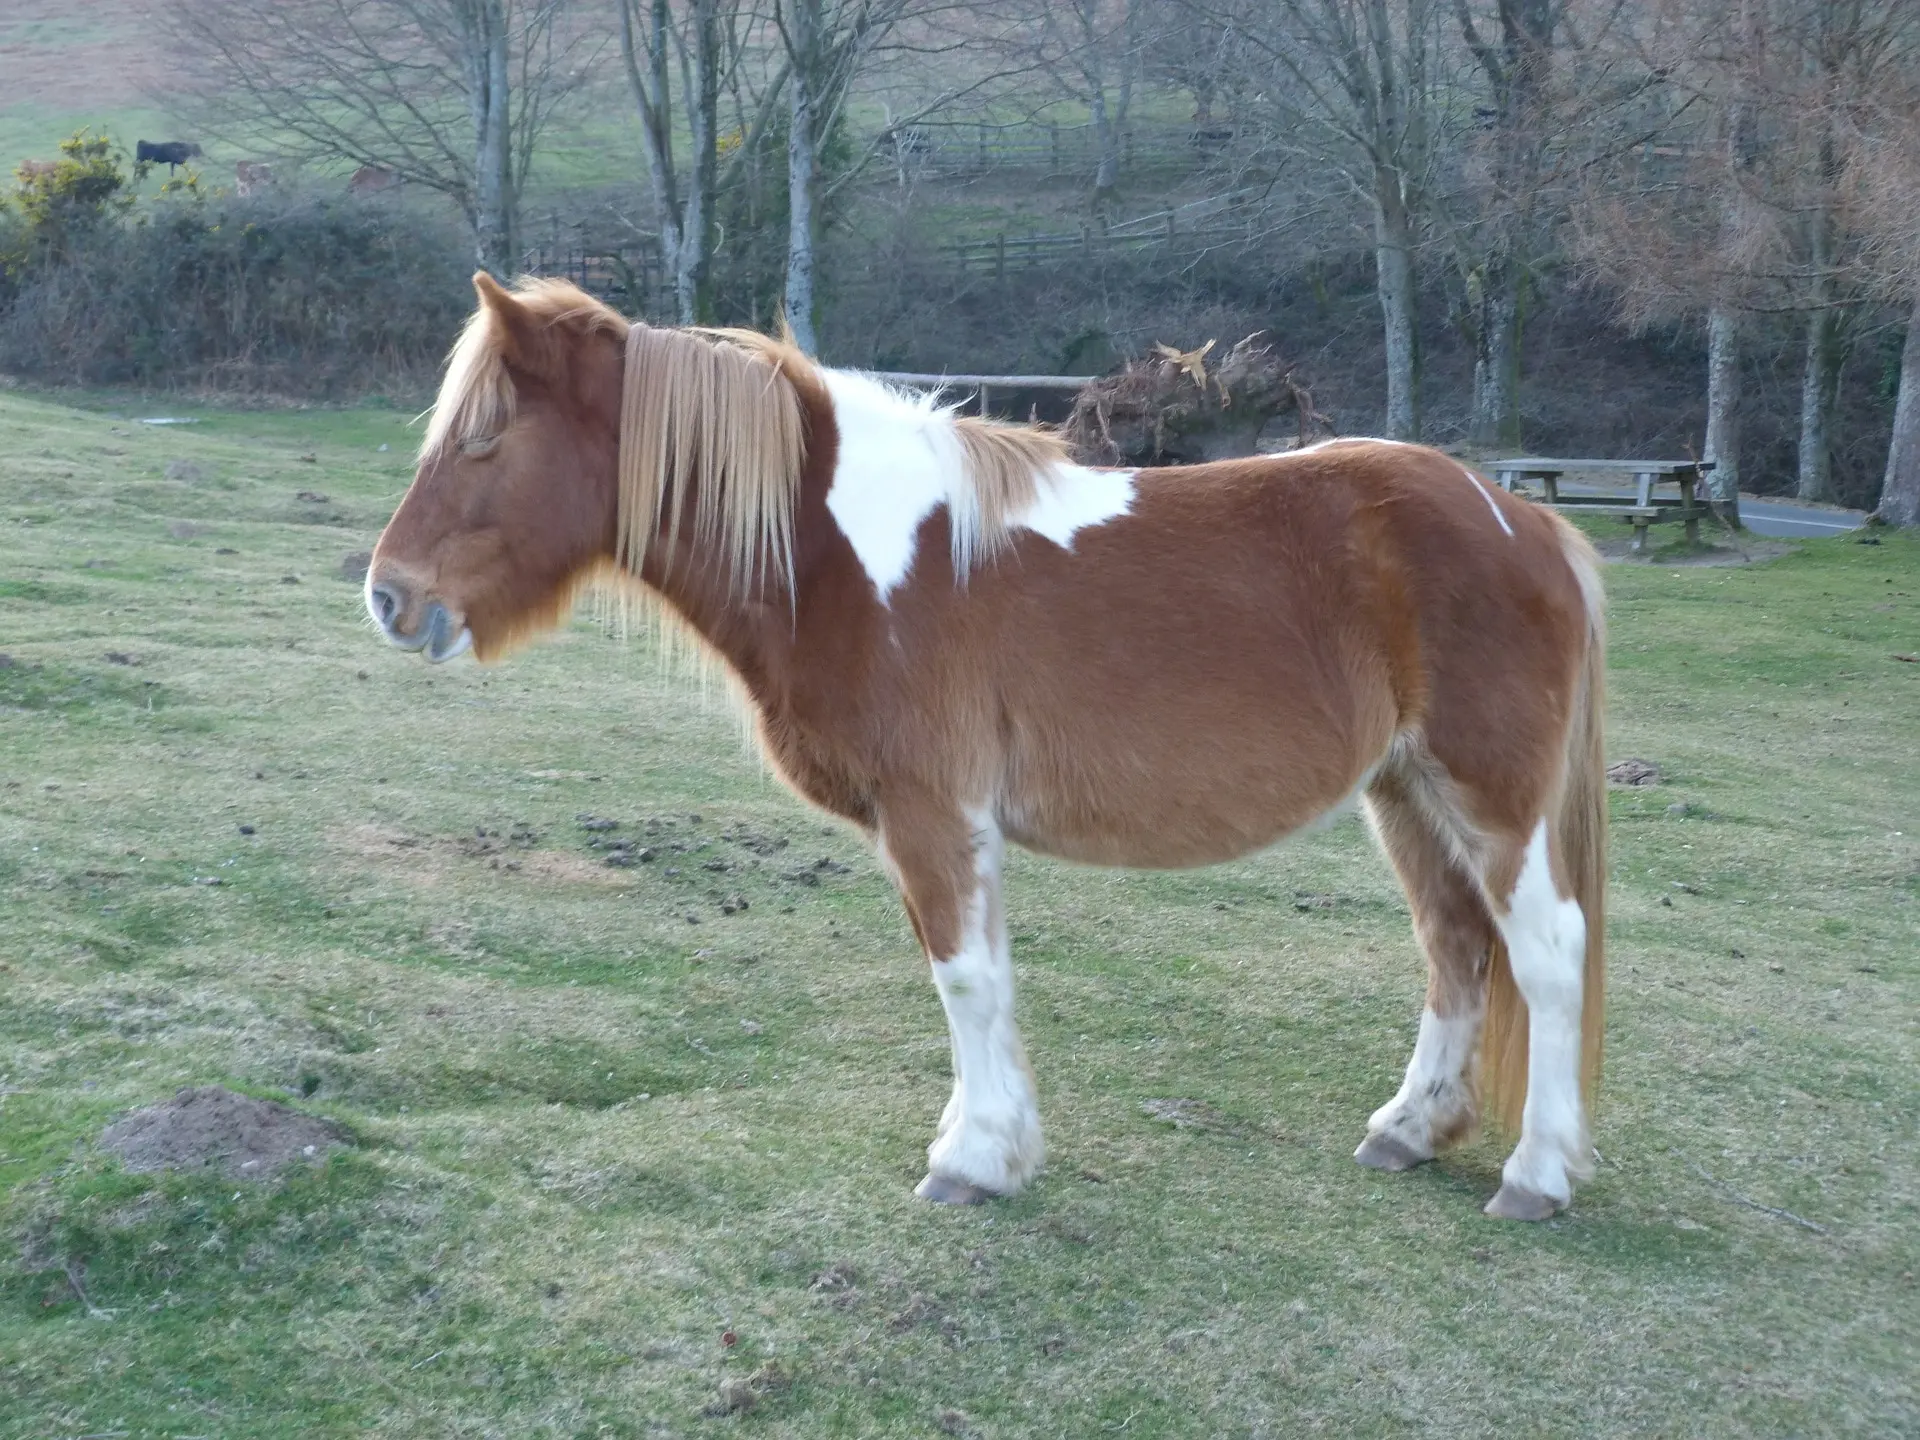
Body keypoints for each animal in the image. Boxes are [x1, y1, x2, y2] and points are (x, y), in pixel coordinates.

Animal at [370, 276, 1605, 1221]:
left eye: (484, 438)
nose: (388, 598)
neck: (840, 553)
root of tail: (1525, 520)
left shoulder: (931, 813)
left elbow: (961, 976)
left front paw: (971, 1163)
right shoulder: (947, 825)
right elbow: (982, 975)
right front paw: (986, 1139)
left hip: (1490, 796)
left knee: (1545, 954)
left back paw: (1537, 1177)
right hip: (1406, 794)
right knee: (1455, 948)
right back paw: (1410, 1129)